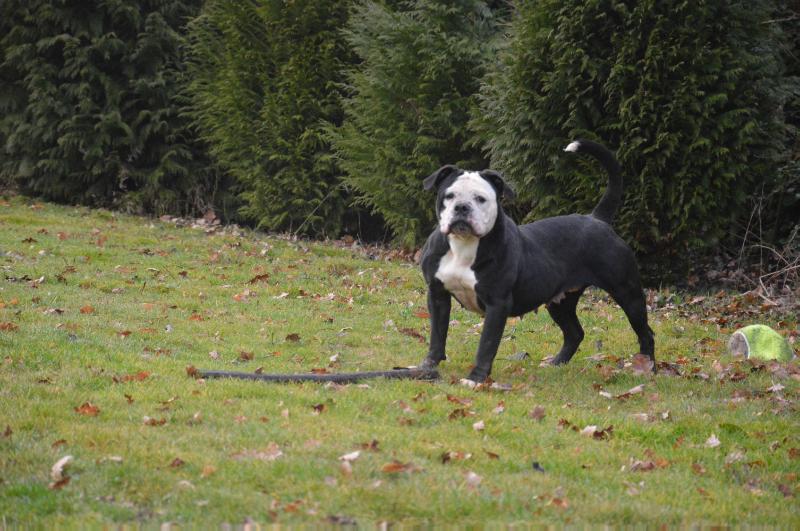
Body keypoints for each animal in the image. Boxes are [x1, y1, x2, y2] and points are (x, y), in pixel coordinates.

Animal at [416, 139, 652, 384]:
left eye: (481, 199)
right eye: (449, 195)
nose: (462, 207)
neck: (464, 245)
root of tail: (597, 219)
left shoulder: (497, 303)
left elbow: (486, 344)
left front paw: (476, 378)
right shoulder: (437, 294)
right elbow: (437, 334)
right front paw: (427, 366)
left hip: (627, 293)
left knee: (644, 331)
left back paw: (647, 368)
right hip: (560, 301)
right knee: (575, 332)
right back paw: (556, 364)